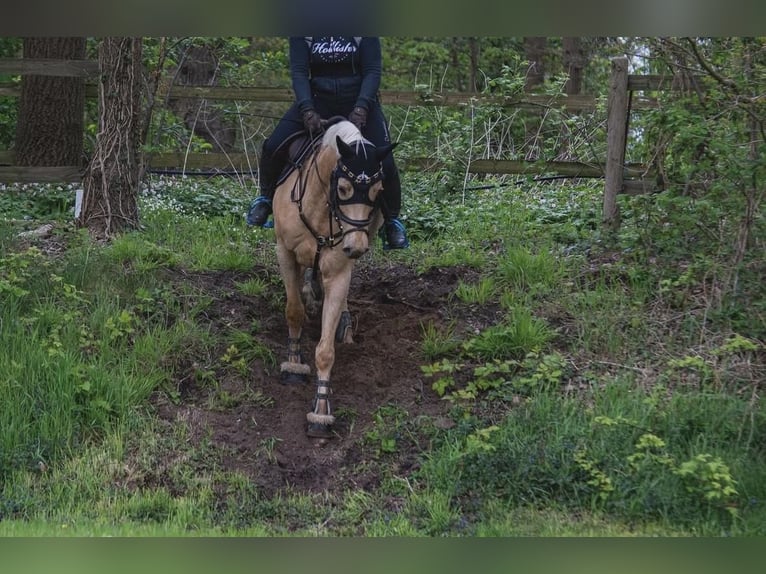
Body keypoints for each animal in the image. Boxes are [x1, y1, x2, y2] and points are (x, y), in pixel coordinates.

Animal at [271, 118, 396, 439]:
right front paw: (293, 365)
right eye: (343, 188)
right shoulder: (285, 252)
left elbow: (326, 350)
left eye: (379, 190)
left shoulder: (339, 270)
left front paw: (321, 411)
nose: (357, 246)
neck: (320, 207)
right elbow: (294, 312)